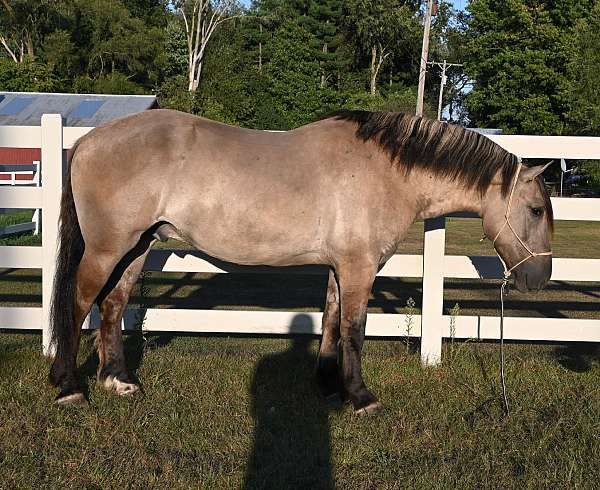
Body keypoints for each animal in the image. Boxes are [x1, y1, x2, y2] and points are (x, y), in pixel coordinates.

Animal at [48, 109, 552, 412]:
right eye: (535, 210)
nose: (540, 278)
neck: (386, 173)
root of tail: (89, 140)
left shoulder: (339, 266)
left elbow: (330, 322)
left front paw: (328, 385)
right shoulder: (359, 267)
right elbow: (353, 329)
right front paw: (360, 396)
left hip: (138, 247)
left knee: (112, 306)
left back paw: (117, 380)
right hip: (109, 247)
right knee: (78, 303)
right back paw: (70, 386)